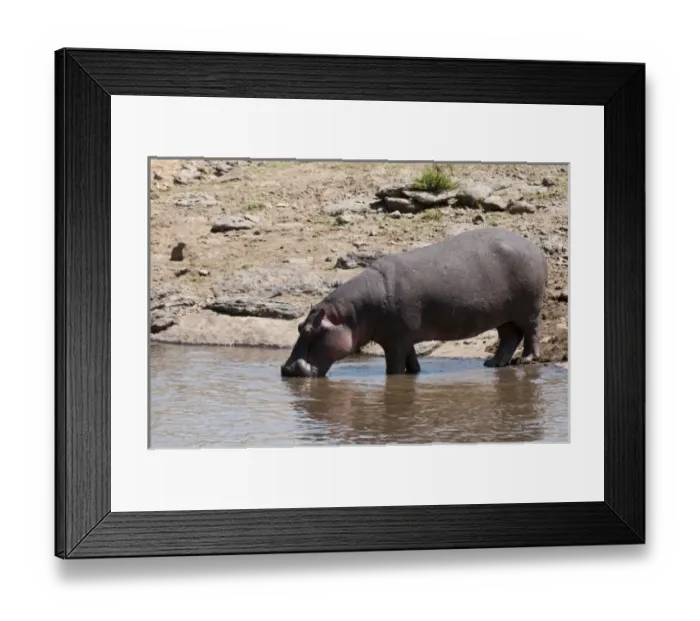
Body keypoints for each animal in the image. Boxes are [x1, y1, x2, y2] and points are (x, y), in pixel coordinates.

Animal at [280, 228, 548, 378]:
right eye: (298, 327)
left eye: (311, 331)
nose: (287, 370)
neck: (352, 315)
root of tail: (534, 247)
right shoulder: (403, 337)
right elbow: (412, 363)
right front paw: (416, 372)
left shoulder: (395, 342)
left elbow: (394, 368)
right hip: (503, 315)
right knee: (509, 337)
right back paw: (492, 364)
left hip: (528, 309)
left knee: (531, 332)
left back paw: (527, 359)